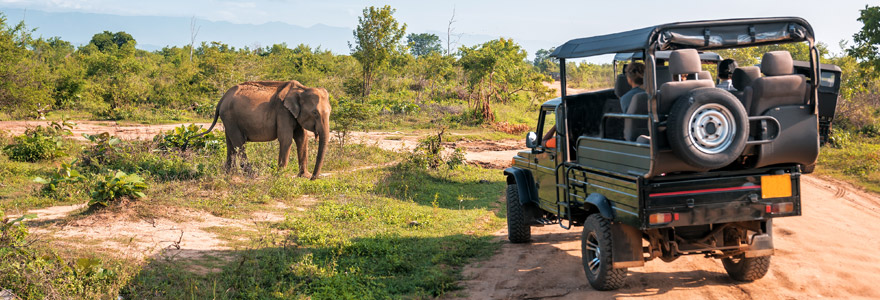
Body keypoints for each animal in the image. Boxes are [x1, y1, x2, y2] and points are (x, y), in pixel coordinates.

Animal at [195, 79, 330, 179]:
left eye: (330, 111)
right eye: (315, 113)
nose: (313, 178)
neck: (302, 89)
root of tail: (222, 99)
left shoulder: (294, 115)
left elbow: (302, 138)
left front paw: (304, 176)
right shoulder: (283, 111)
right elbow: (286, 139)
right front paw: (280, 175)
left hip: (228, 119)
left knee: (230, 143)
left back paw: (229, 173)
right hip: (230, 117)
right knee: (239, 143)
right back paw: (251, 174)